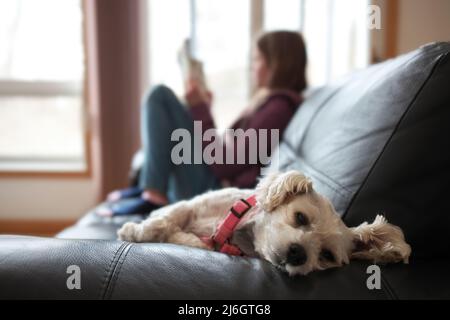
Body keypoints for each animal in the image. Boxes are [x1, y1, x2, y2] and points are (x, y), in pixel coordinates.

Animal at [117, 170, 412, 276]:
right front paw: (135, 229)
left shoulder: (209, 243)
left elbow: (188, 239)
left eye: (327, 255)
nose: (299, 254)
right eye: (300, 217)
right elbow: (165, 218)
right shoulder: (191, 206)